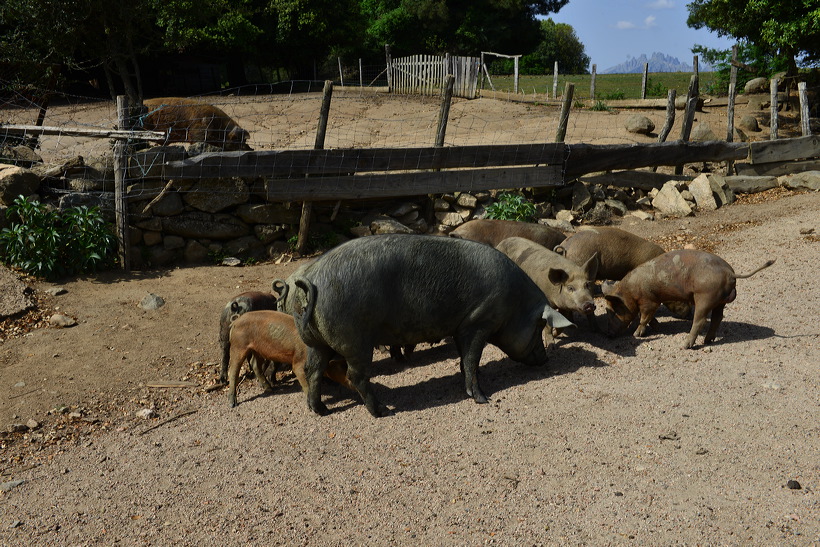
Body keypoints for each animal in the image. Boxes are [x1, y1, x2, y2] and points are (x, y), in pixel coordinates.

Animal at [278, 233, 572, 418]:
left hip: (316, 341)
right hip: (355, 340)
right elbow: (472, 358)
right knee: (355, 375)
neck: (514, 305)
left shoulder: (462, 327)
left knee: (313, 369)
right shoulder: (478, 322)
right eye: (539, 327)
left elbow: (465, 359)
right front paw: (483, 398)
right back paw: (382, 412)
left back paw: (320, 410)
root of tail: (311, 278)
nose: (546, 359)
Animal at [604, 250, 776, 348]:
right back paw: (708, 341)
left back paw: (686, 345)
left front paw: (636, 334)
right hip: (719, 301)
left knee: (700, 320)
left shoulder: (650, 300)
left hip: (704, 297)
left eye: (614, 312)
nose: (608, 335)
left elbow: (644, 317)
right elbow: (648, 317)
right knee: (717, 317)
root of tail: (730, 273)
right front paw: (657, 328)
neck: (630, 291)